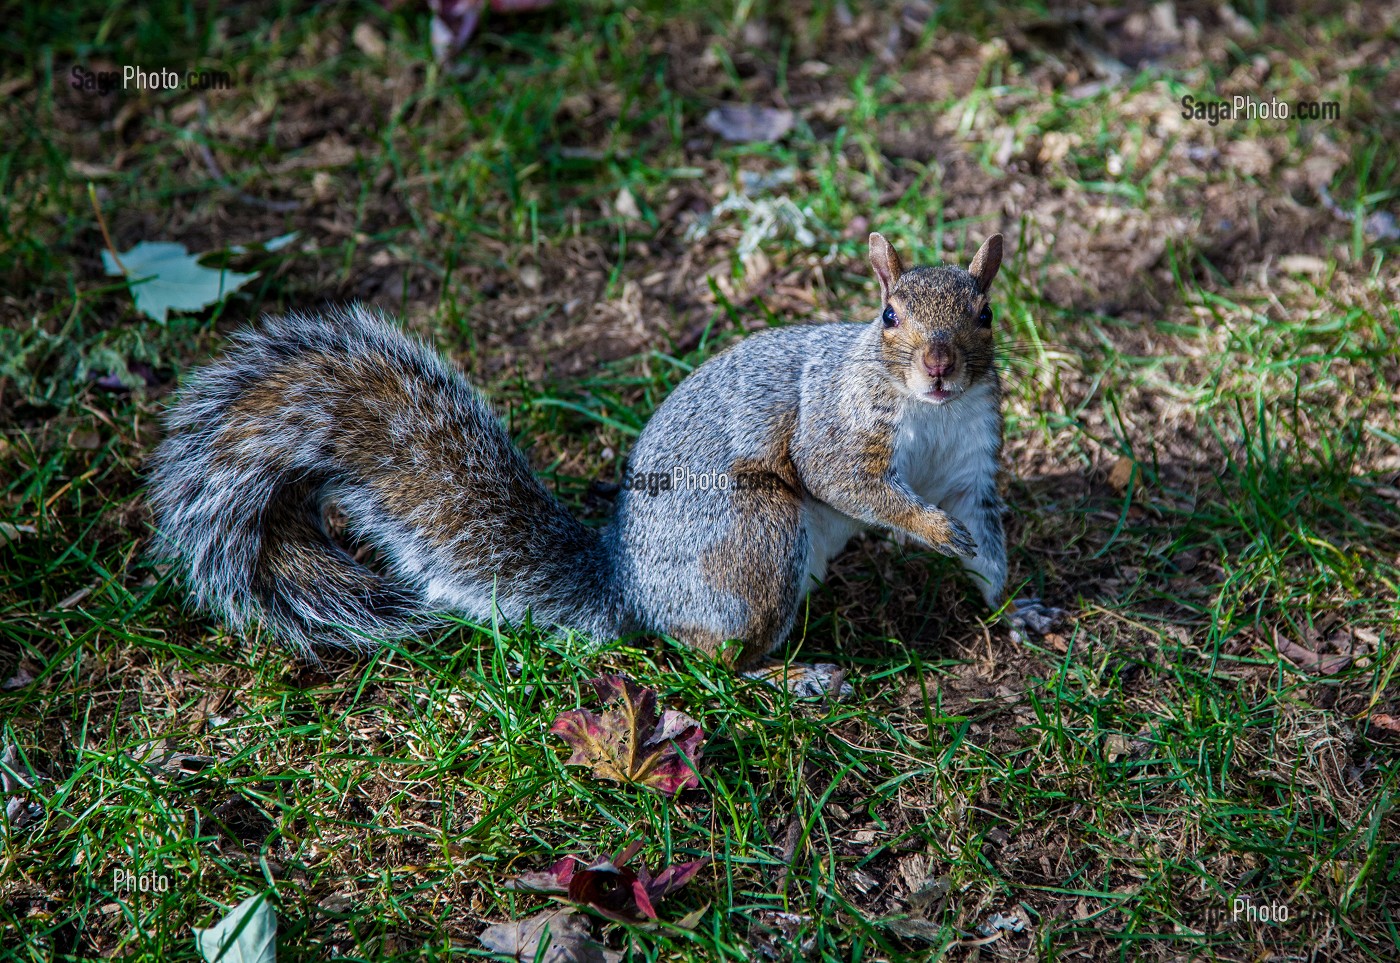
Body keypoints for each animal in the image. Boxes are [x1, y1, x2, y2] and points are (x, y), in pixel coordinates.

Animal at [150, 236, 1058, 697]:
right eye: (889, 314)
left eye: (985, 312)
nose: (940, 367)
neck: (929, 411)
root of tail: (629, 588)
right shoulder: (835, 427)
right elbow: (851, 482)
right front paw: (927, 529)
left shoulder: (971, 462)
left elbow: (984, 536)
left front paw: (1015, 605)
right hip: (754, 537)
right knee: (714, 659)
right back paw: (790, 676)